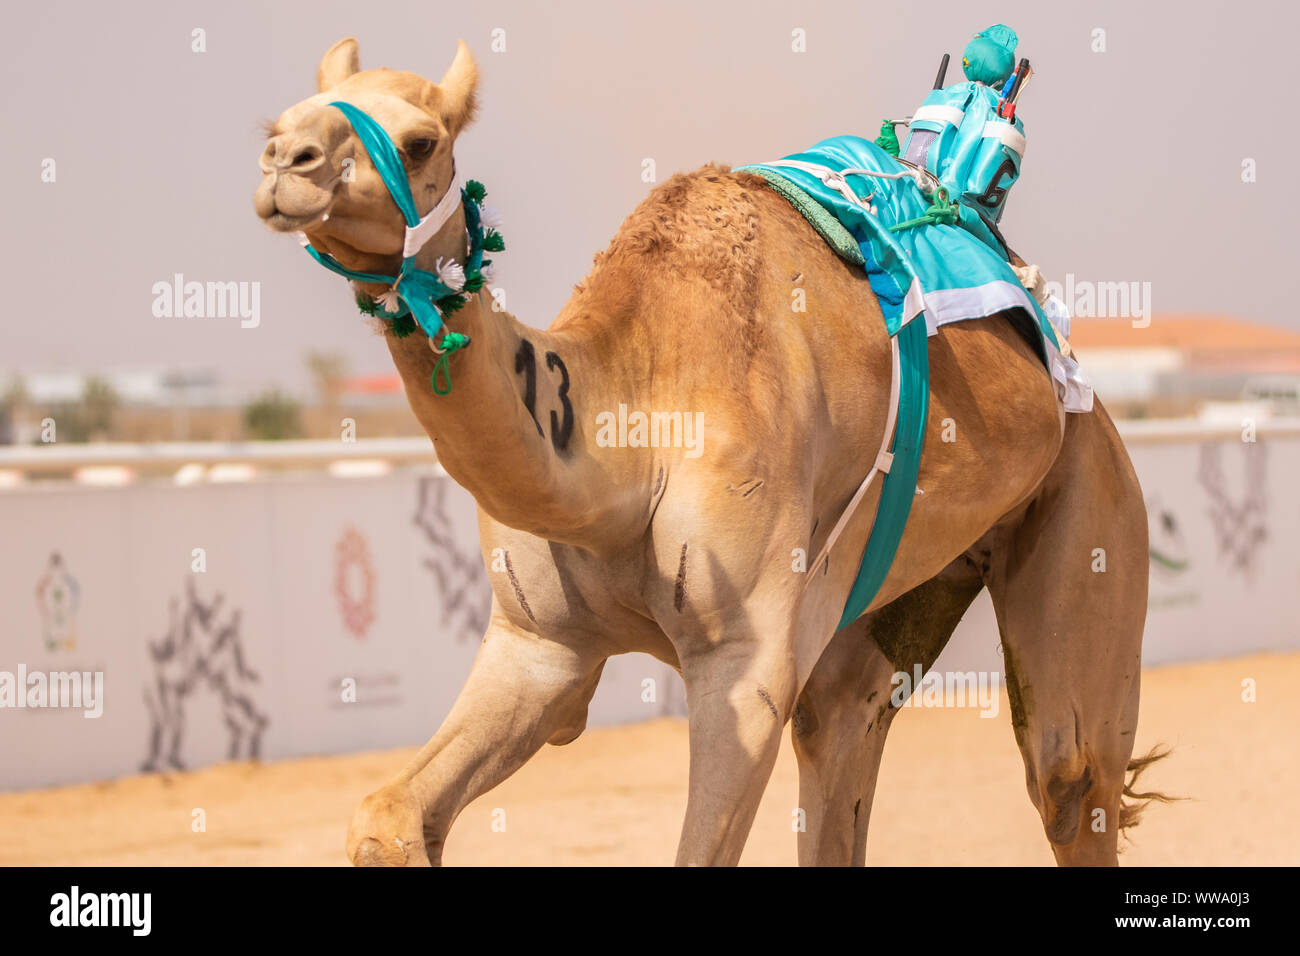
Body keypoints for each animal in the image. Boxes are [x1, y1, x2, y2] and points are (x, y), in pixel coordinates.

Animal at [250, 41, 1159, 868]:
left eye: (420, 140)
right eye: (283, 117)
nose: (285, 162)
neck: (629, 440)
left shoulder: (743, 658)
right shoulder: (539, 643)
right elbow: (387, 819)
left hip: (1091, 496)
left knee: (1069, 772)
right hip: (911, 581)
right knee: (843, 725)